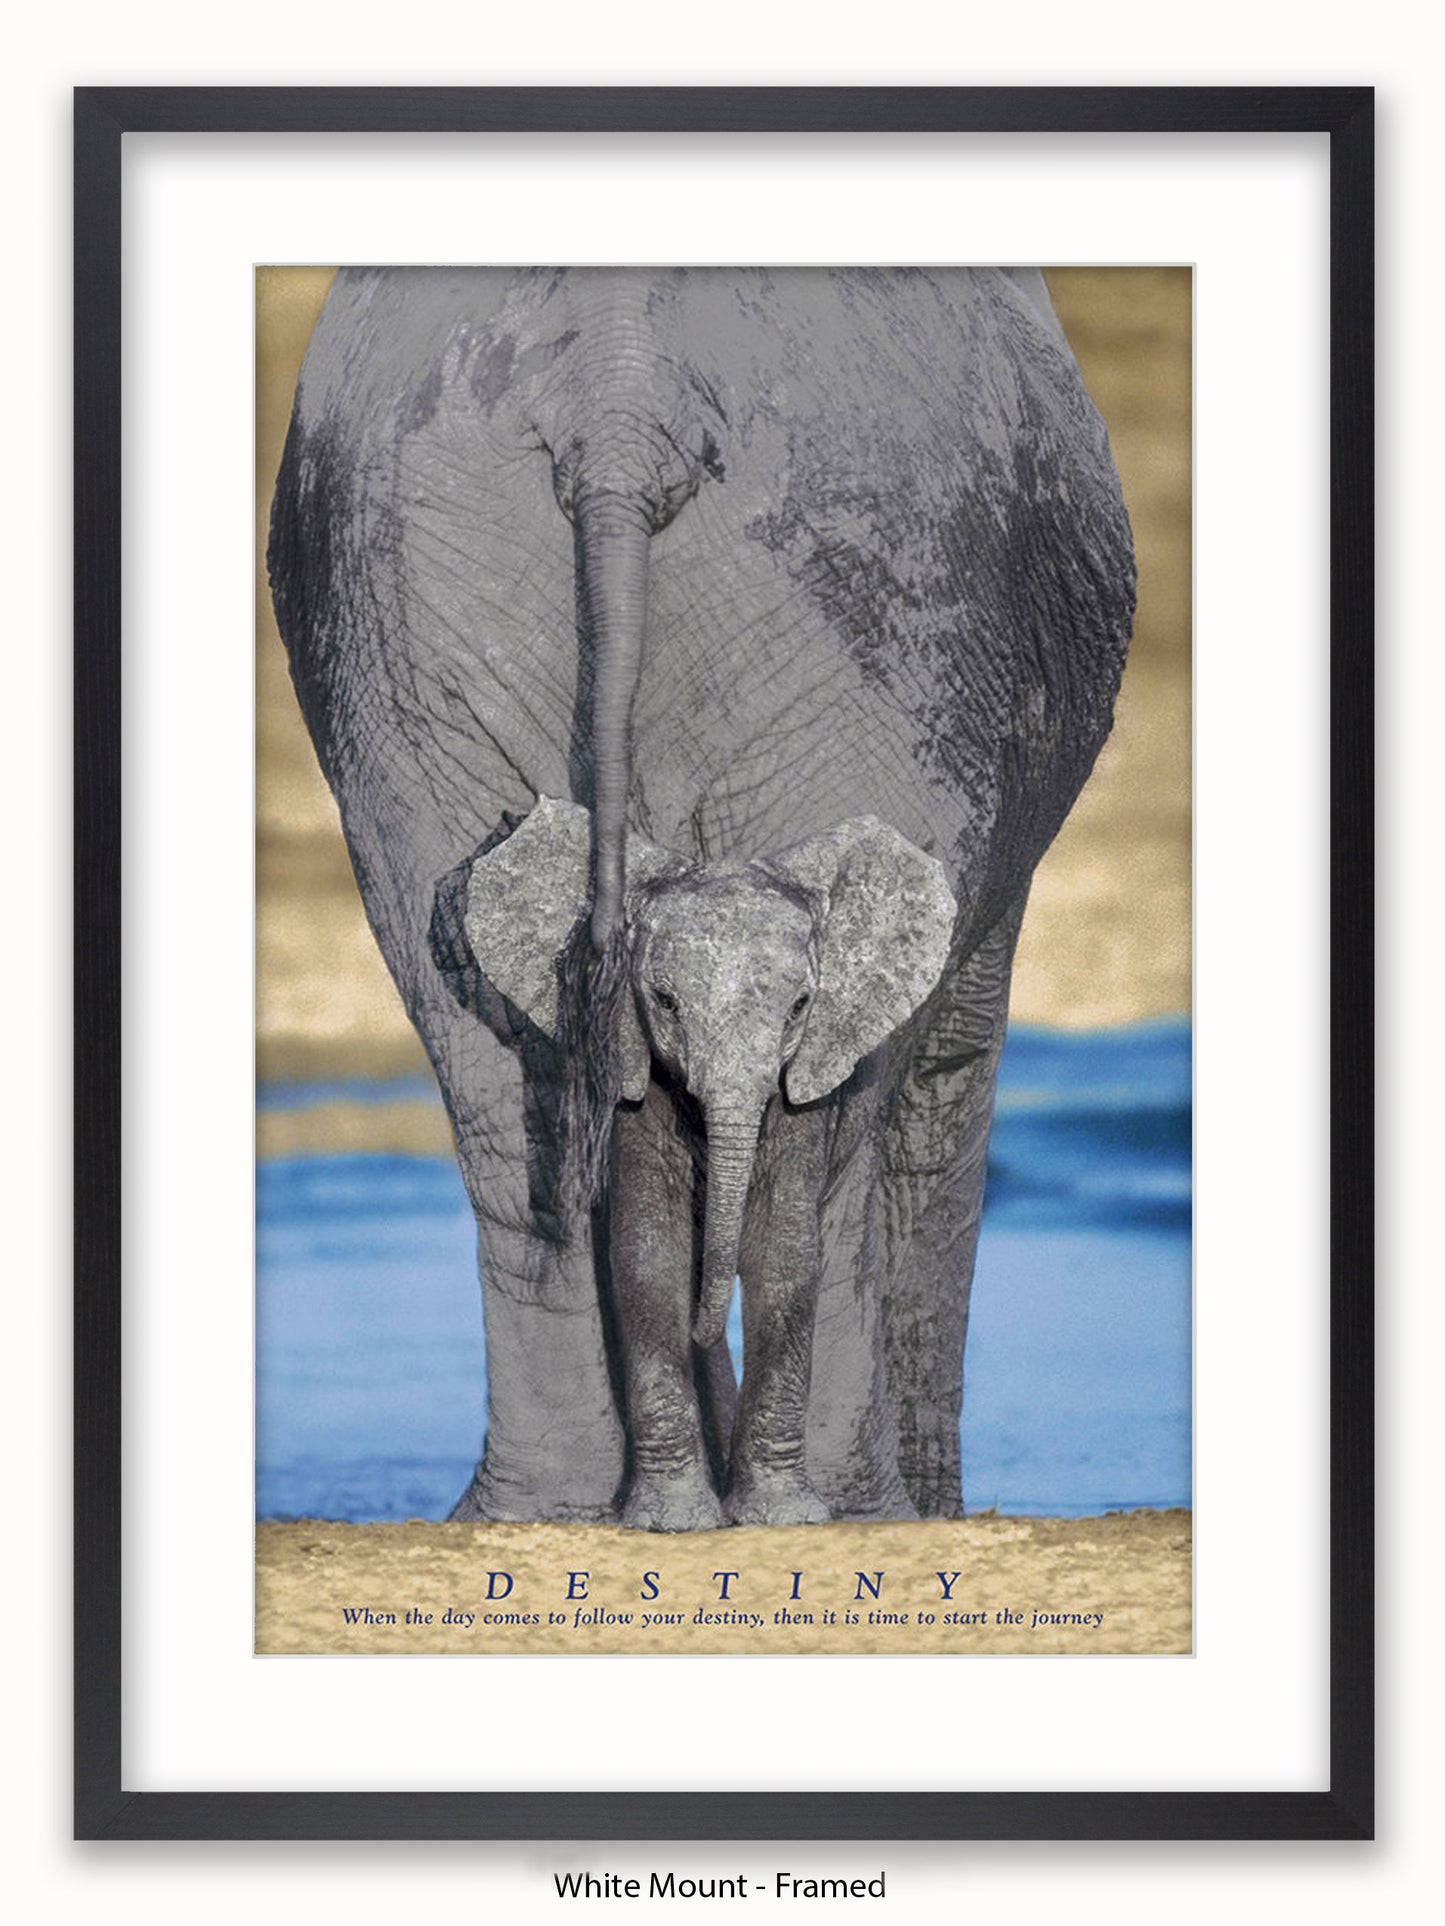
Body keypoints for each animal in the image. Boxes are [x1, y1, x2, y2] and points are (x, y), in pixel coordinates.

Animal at [267, 264, 1135, 1528]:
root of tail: (619, 397)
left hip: (399, 621)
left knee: (493, 1086)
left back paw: (546, 1510)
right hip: (886, 606)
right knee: (836, 1134)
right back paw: (847, 1508)